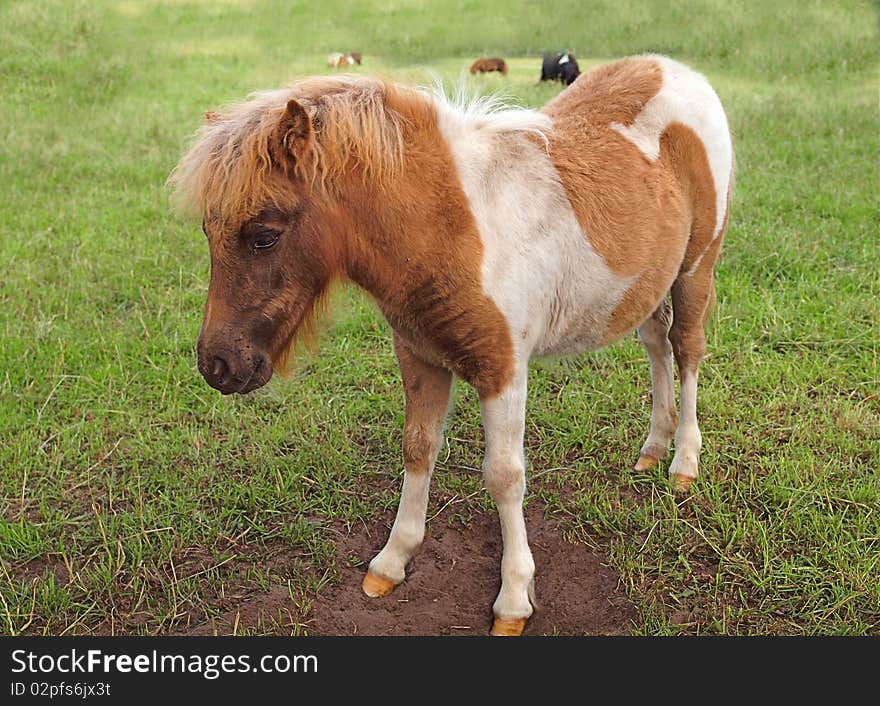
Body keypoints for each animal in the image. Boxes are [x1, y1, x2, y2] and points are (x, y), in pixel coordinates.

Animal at [168, 55, 732, 636]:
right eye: (208, 232)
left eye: (264, 235)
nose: (217, 365)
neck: (452, 228)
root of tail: (677, 70)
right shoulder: (419, 357)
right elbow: (418, 448)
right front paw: (390, 563)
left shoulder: (503, 370)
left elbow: (504, 477)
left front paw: (513, 600)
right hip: (648, 285)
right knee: (656, 345)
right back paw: (652, 447)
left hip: (696, 267)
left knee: (686, 350)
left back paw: (683, 461)